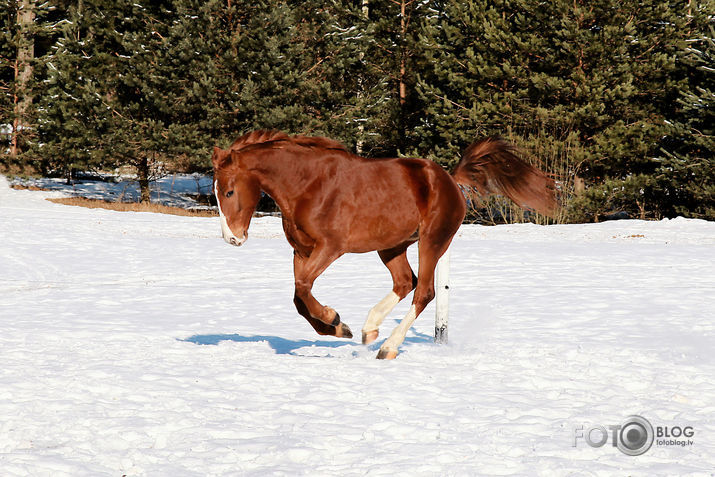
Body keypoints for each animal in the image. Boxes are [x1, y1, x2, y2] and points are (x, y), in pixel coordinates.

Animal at [210, 129, 556, 356]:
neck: (308, 185)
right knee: (405, 282)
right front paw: (338, 327)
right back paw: (369, 329)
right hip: (391, 246)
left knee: (424, 291)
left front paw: (334, 321)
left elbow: (304, 287)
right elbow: (298, 295)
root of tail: (449, 178)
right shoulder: (301, 250)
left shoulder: (330, 248)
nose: (232, 238)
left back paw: (388, 346)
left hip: (432, 241)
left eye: (229, 191)